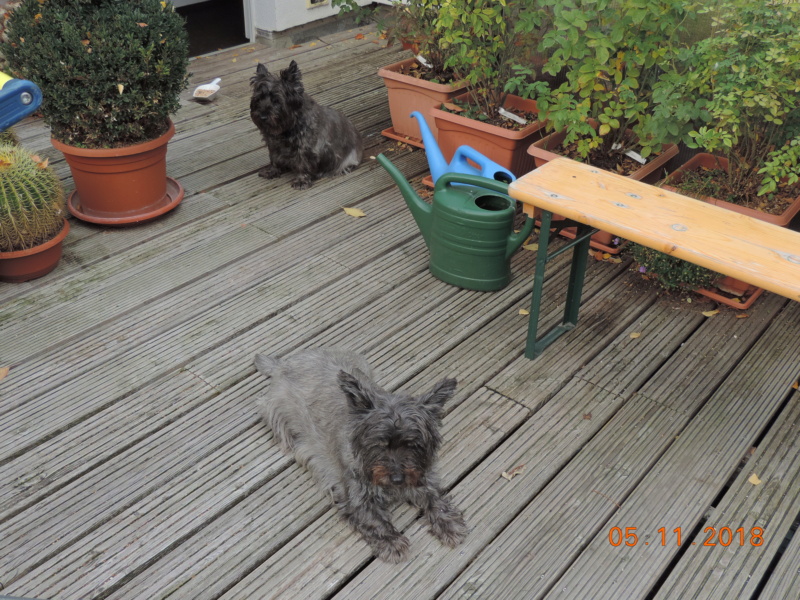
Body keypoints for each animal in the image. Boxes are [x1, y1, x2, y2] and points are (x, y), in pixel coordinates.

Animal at [248, 61, 364, 189]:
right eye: (258, 99)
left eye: (277, 101)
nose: (262, 116)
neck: (287, 127)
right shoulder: (273, 145)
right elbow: (274, 158)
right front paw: (272, 171)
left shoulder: (305, 148)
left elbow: (302, 164)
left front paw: (301, 180)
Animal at [255, 346, 468, 564]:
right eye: (379, 444)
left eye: (413, 445)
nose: (397, 479)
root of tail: (284, 362)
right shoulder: (355, 496)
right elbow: (373, 519)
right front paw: (391, 542)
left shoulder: (421, 477)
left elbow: (435, 499)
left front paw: (448, 523)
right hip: (275, 410)